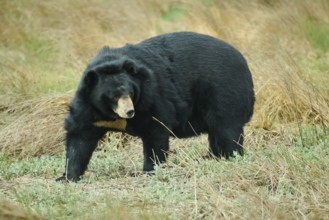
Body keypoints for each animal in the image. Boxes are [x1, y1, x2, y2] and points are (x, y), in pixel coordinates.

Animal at [55, 31, 254, 182]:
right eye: (113, 96)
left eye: (131, 92)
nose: (129, 111)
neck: (111, 114)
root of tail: (243, 60)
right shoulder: (88, 107)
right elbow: (80, 138)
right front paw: (66, 177)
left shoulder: (150, 97)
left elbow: (155, 132)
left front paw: (150, 170)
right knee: (217, 132)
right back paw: (213, 156)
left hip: (224, 92)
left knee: (227, 129)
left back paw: (228, 156)